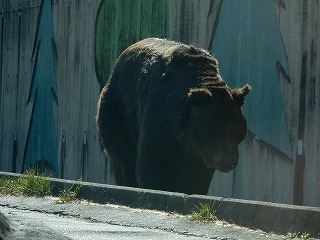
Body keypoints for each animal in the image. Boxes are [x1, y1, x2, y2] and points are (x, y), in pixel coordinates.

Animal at [96, 38, 251, 195]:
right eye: (217, 133)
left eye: (238, 133)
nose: (229, 162)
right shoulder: (157, 118)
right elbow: (152, 166)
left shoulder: (200, 150)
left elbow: (198, 176)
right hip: (117, 112)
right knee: (123, 159)